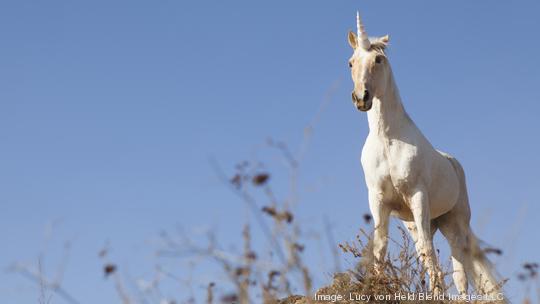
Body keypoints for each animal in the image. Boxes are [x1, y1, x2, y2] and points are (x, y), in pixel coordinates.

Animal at [348, 12, 504, 300]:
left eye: (378, 60)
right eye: (351, 62)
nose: (361, 98)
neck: (388, 139)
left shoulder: (418, 197)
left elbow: (435, 258)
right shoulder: (378, 201)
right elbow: (380, 248)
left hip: (454, 224)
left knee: (459, 270)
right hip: (420, 224)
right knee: (429, 255)